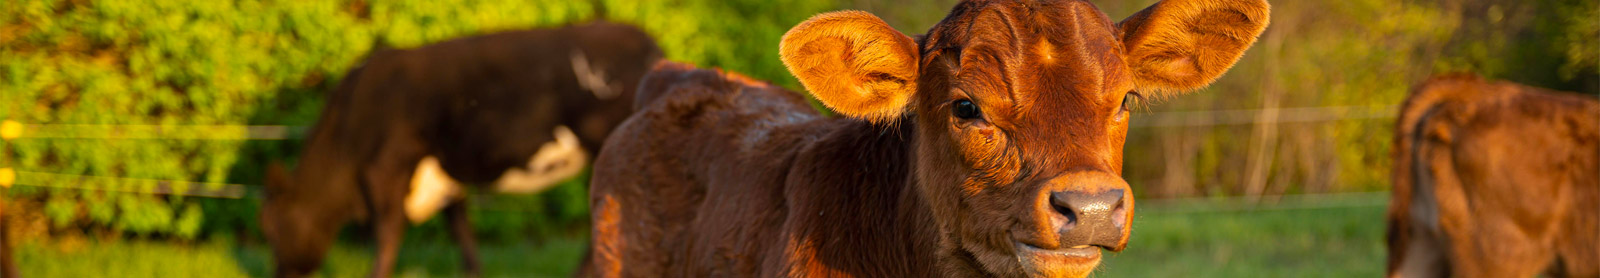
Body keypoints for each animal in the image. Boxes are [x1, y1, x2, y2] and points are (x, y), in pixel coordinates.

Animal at [262, 21, 662, 278]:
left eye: (270, 229)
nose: (280, 274)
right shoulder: (443, 171)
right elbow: (461, 229)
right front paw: (474, 272)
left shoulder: (387, 167)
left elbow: (387, 234)